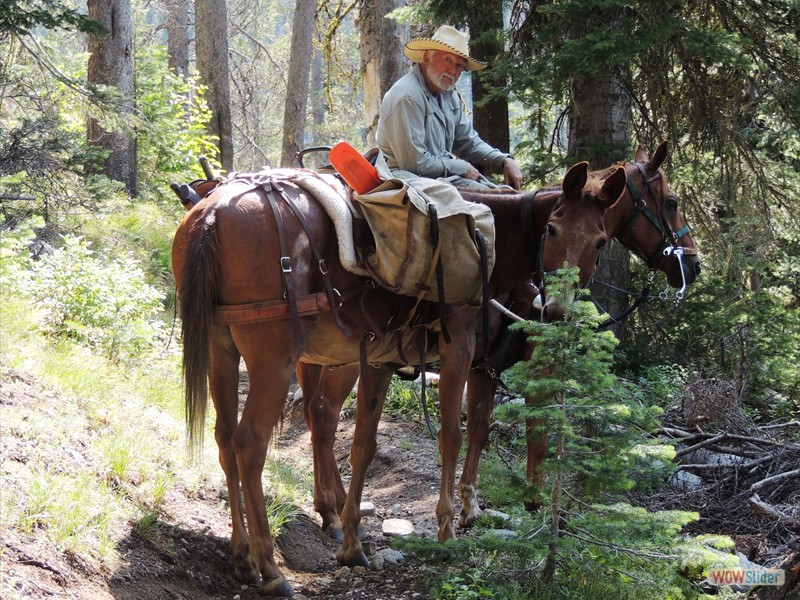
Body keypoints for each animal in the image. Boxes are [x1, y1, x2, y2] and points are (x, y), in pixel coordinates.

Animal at [172, 159, 628, 596]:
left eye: (601, 242)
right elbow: (459, 434)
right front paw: (449, 528)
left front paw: (353, 543)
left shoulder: (381, 358)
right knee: (251, 443)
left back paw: (244, 557)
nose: (557, 312)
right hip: (273, 359)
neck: (491, 243)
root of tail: (212, 212)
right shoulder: (462, 350)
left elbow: (365, 445)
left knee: (227, 437)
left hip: (221, 349)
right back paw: (270, 569)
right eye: (551, 229)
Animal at [300, 142, 700, 540]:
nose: (692, 266)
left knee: (314, 412)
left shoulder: (484, 367)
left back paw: (331, 507)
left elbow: (479, 428)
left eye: (600, 241)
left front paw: (470, 506)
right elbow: (530, 435)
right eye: (672, 202)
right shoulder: (492, 357)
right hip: (348, 356)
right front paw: (535, 509)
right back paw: (336, 512)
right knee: (325, 413)